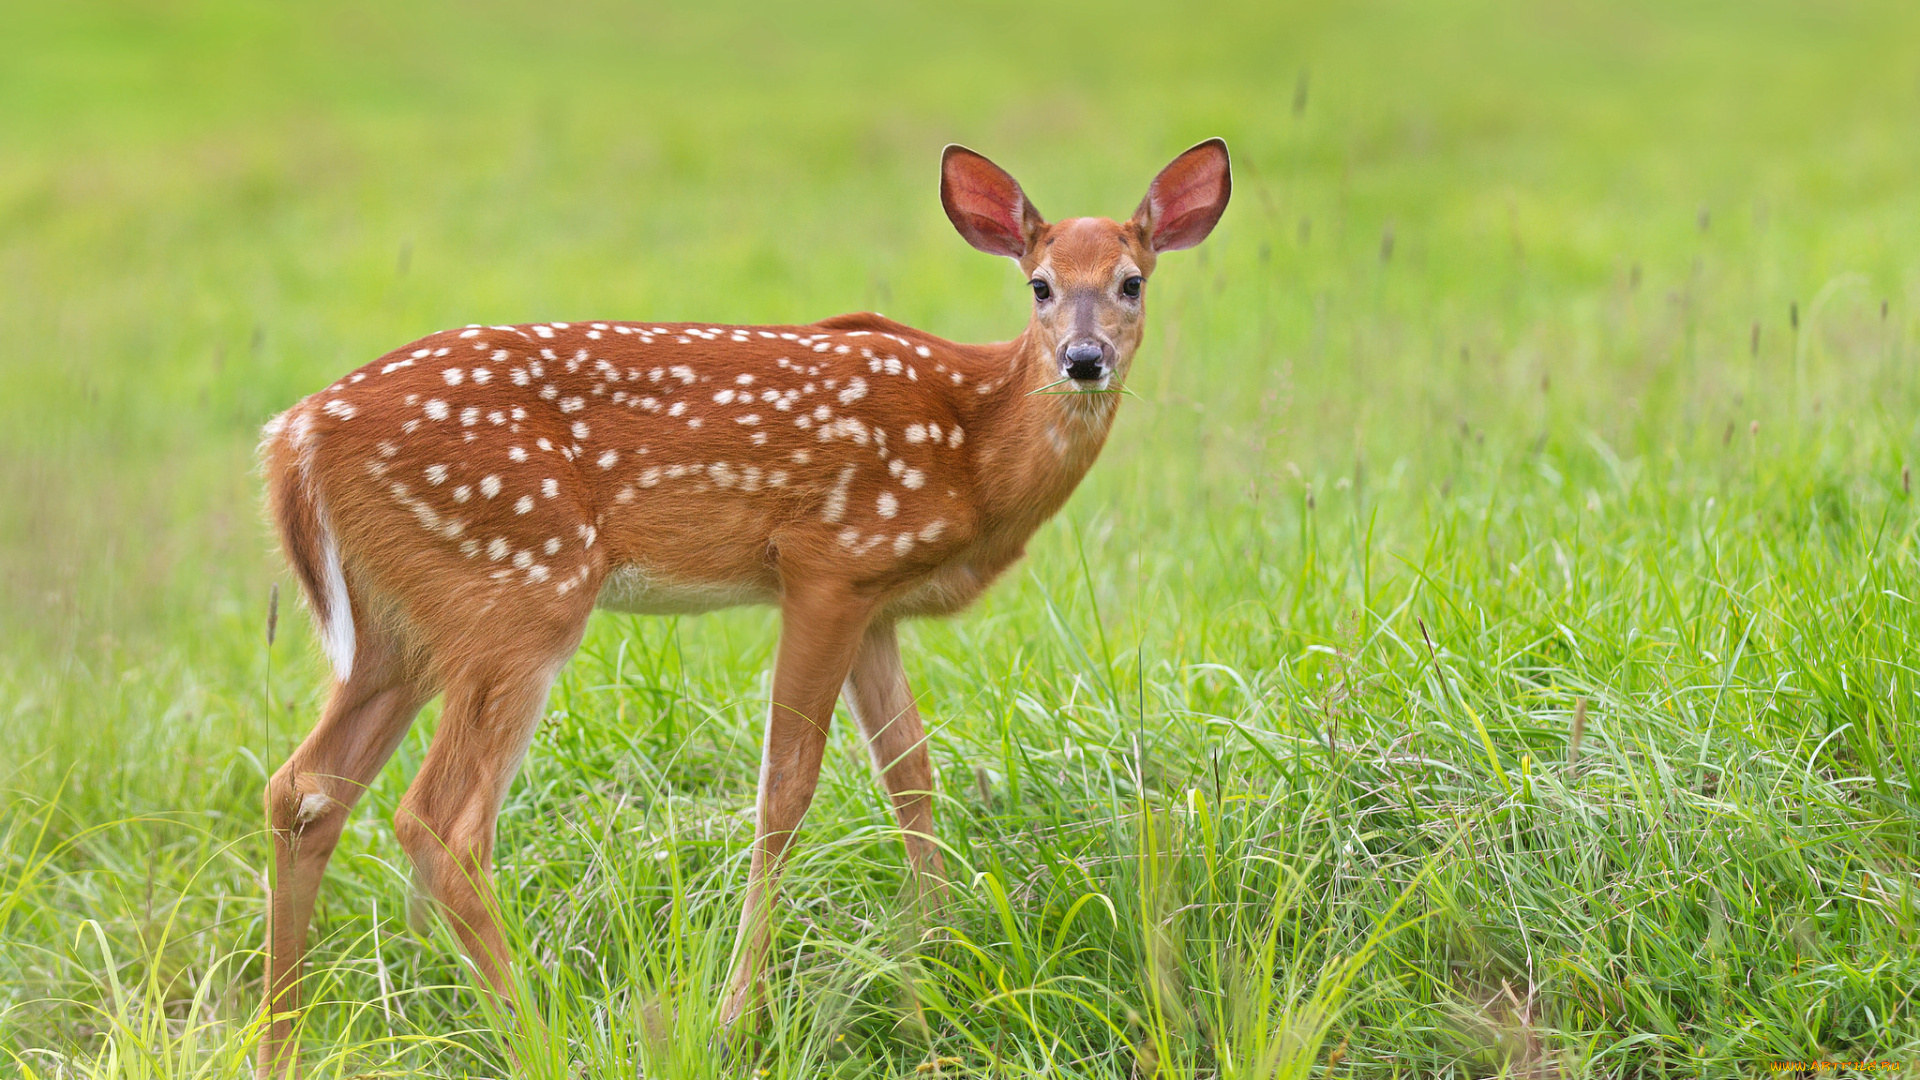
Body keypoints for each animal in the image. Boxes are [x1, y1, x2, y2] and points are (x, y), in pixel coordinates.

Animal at [255, 138, 1228, 1068]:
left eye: (1132, 281)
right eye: (1040, 285)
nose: (1084, 360)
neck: (973, 447)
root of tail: (294, 437)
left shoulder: (877, 602)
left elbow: (911, 776)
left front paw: (938, 972)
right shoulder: (827, 563)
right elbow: (785, 792)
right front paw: (736, 1019)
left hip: (400, 629)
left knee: (303, 790)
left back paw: (281, 1048)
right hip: (520, 590)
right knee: (439, 822)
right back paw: (539, 1036)